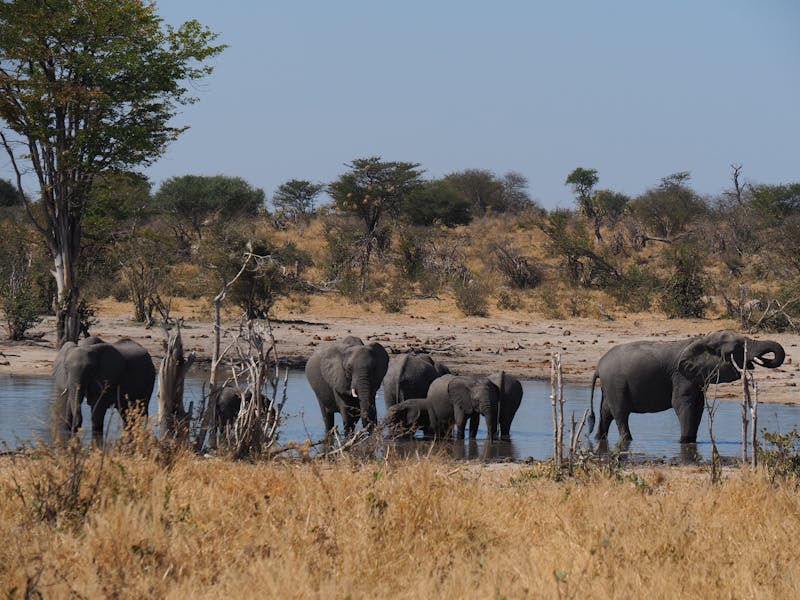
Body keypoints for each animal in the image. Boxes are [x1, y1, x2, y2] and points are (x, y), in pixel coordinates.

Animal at [588, 330, 785, 443]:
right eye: (737, 347)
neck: (702, 340)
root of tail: (598, 366)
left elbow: (698, 406)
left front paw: (690, 441)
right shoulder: (681, 375)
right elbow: (683, 404)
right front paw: (684, 443)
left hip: (611, 385)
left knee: (606, 412)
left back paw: (599, 438)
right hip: (615, 383)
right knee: (621, 413)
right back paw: (626, 441)